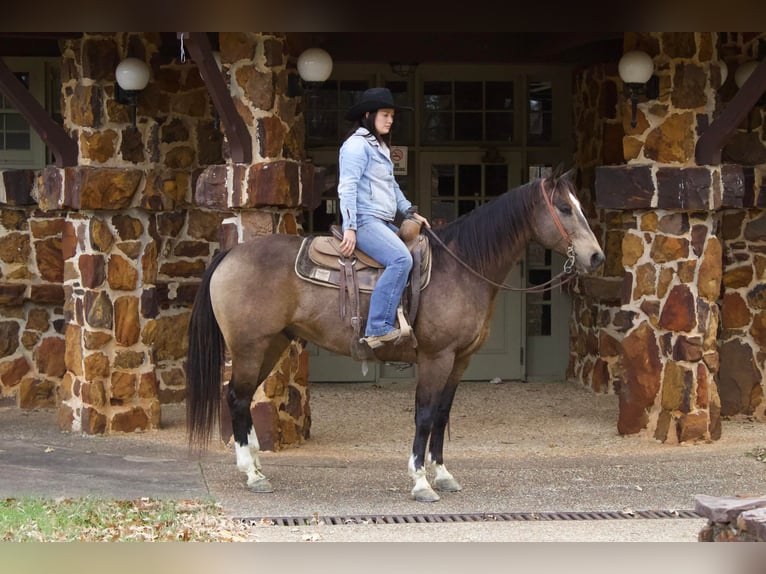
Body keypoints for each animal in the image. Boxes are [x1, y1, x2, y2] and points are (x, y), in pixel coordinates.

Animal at [186, 168, 608, 504]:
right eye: (565, 208)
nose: (597, 258)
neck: (461, 268)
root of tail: (230, 255)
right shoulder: (436, 358)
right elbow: (424, 415)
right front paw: (421, 482)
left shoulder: (461, 360)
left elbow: (442, 414)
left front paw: (443, 474)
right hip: (249, 347)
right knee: (237, 397)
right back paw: (252, 473)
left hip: (271, 344)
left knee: (241, 399)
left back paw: (256, 466)